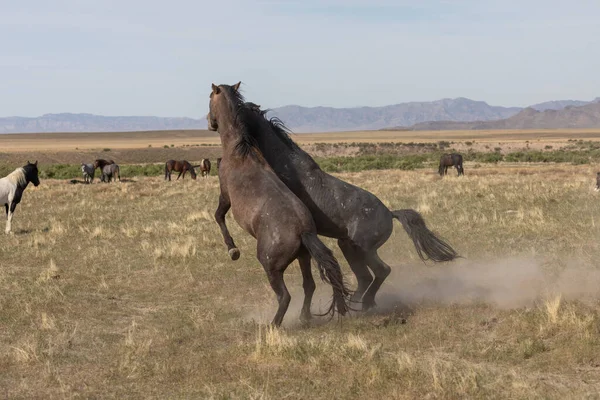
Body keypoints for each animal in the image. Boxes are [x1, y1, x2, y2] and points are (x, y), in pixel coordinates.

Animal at [207, 83, 352, 326]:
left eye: (210, 98)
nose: (209, 121)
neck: (238, 150)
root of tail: (304, 231)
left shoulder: (225, 195)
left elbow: (218, 216)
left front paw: (232, 250)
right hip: (303, 257)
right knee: (309, 285)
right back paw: (304, 318)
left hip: (271, 267)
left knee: (285, 296)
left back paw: (274, 325)